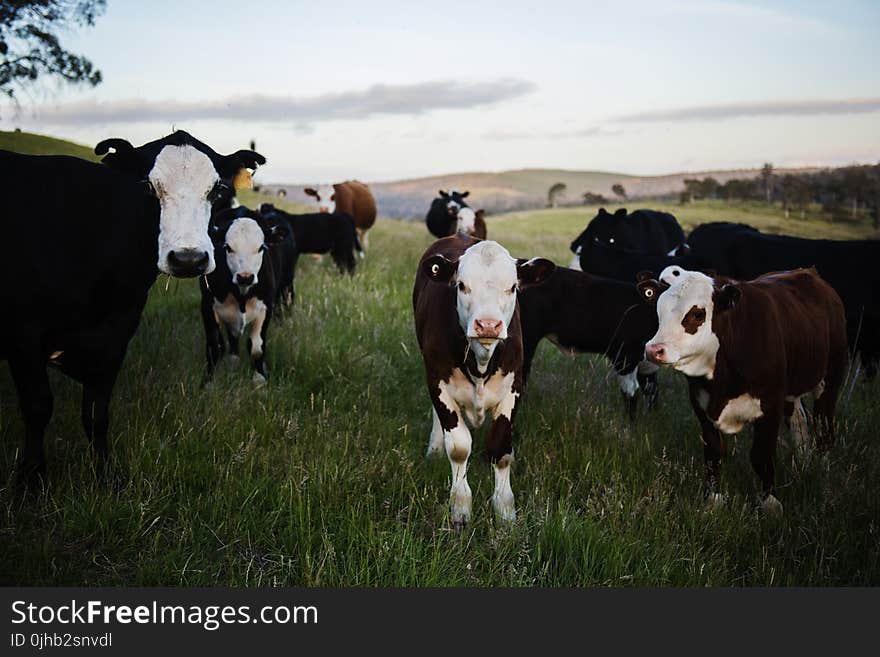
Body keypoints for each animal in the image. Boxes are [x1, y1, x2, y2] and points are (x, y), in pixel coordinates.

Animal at [1, 129, 266, 486]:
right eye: (146, 187)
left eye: (218, 190)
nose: (188, 259)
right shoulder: (24, 335)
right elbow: (38, 407)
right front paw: (32, 480)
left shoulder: (116, 335)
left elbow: (96, 413)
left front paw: (105, 476)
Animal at [199, 208, 288, 384]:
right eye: (228, 247)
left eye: (261, 247)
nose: (245, 277)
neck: (241, 296)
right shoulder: (207, 305)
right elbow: (214, 346)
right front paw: (208, 383)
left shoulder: (266, 307)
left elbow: (256, 347)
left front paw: (260, 381)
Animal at [410, 233, 552, 524]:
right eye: (462, 285)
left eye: (512, 287)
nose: (487, 325)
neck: (481, 362)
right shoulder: (437, 381)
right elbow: (459, 447)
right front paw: (460, 508)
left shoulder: (513, 387)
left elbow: (500, 448)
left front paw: (505, 511)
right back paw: (434, 449)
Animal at [636, 266, 848, 512]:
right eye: (659, 311)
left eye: (697, 314)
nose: (654, 350)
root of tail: (808, 272)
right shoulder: (700, 403)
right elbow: (714, 451)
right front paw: (713, 500)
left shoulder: (771, 403)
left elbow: (761, 455)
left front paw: (770, 503)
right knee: (799, 421)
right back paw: (804, 464)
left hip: (830, 378)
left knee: (824, 425)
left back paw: (821, 469)